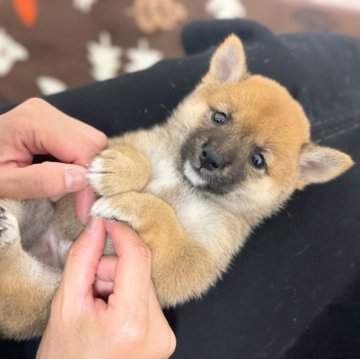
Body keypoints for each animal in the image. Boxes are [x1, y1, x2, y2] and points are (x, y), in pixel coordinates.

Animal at [0, 35, 352, 340]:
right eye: (220, 117)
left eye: (258, 160)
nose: (211, 157)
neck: (183, 184)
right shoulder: (129, 143)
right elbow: (138, 161)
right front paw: (118, 171)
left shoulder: (190, 265)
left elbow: (166, 219)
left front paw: (131, 205)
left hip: (45, 293)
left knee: (13, 286)